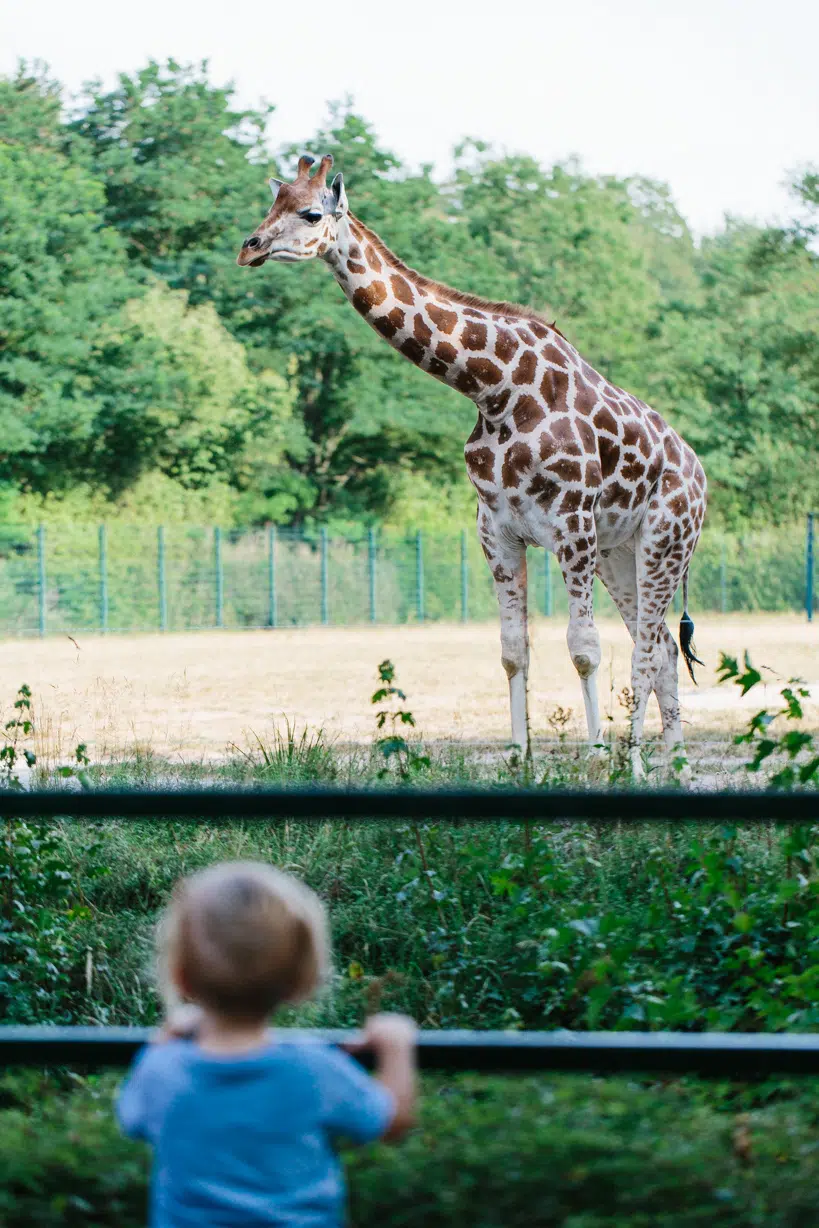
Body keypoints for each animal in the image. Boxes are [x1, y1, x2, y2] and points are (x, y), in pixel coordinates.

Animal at [236, 151, 707, 766]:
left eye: (311, 213)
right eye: (273, 203)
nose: (250, 247)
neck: (494, 389)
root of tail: (700, 477)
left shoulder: (572, 525)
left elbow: (583, 647)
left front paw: (594, 753)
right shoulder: (498, 529)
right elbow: (513, 649)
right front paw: (518, 756)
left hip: (664, 541)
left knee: (648, 649)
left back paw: (633, 759)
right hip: (619, 553)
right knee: (666, 648)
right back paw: (674, 760)